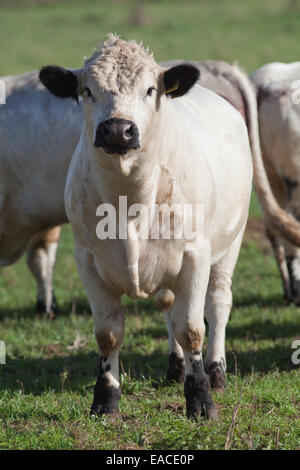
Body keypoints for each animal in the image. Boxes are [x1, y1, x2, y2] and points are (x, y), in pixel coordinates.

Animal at [39, 35, 300, 418]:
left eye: (150, 89)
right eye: (87, 90)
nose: (117, 129)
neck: (129, 200)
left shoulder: (195, 257)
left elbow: (191, 328)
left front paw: (201, 399)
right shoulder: (87, 261)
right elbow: (108, 333)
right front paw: (105, 400)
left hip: (229, 245)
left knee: (217, 304)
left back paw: (216, 371)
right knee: (167, 305)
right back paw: (175, 367)